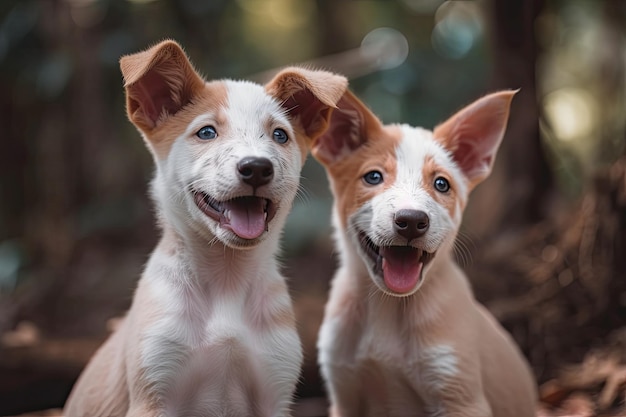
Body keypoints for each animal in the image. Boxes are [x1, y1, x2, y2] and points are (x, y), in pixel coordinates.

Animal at [64, 39, 346, 416]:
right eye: (207, 132)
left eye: (280, 135)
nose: (257, 168)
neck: (227, 280)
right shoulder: (153, 393)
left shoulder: (274, 389)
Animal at [312, 91, 536, 416]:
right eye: (373, 177)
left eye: (441, 184)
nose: (411, 221)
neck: (388, 308)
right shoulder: (344, 393)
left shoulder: (460, 395)